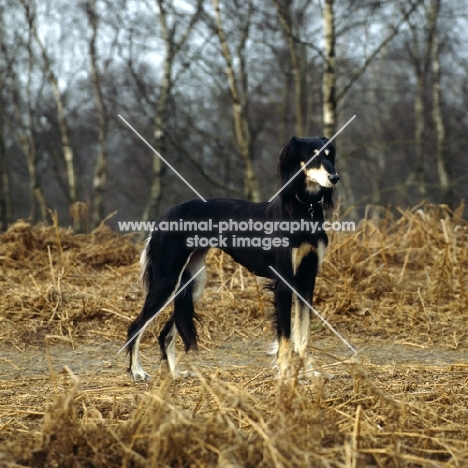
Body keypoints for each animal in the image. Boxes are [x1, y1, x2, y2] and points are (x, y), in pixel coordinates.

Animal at [124, 134, 338, 380]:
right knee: (136, 326)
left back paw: (175, 372)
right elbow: (285, 336)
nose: (335, 178)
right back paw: (137, 371)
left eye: (329, 155)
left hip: (193, 283)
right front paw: (285, 373)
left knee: (166, 332)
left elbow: (304, 334)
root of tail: (163, 217)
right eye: (312, 155)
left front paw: (310, 373)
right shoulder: (284, 283)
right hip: (166, 281)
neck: (304, 211)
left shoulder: (307, 280)